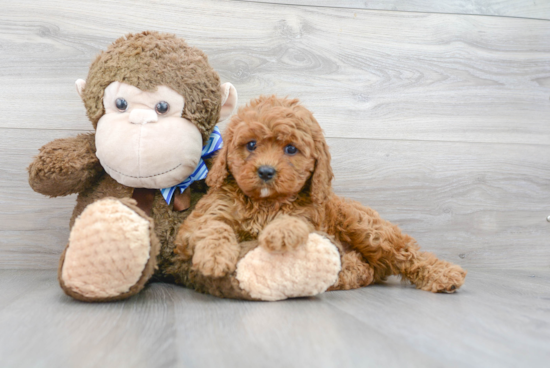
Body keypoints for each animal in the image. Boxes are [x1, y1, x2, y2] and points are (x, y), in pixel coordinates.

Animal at [175, 95, 468, 294]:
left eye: (291, 149)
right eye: (251, 144)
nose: (266, 171)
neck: (265, 202)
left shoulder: (310, 218)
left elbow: (294, 221)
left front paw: (278, 233)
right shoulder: (206, 215)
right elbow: (214, 227)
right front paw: (214, 258)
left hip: (367, 230)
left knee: (404, 253)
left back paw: (444, 275)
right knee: (368, 268)